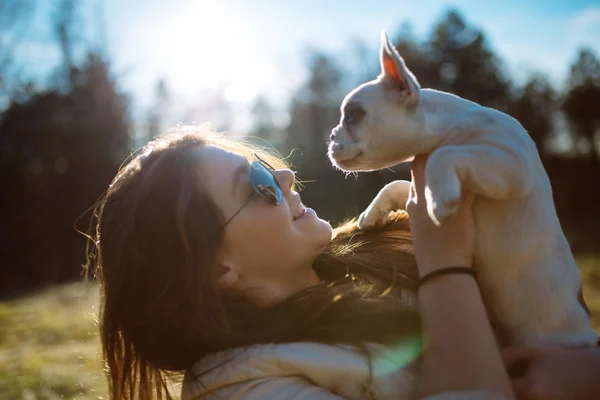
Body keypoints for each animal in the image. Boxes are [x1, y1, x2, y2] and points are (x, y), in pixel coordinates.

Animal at [330, 30, 596, 346]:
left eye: (352, 115)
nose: (331, 135)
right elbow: (396, 184)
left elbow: (446, 155)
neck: (447, 127)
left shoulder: (511, 164)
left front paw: (440, 202)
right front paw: (372, 214)